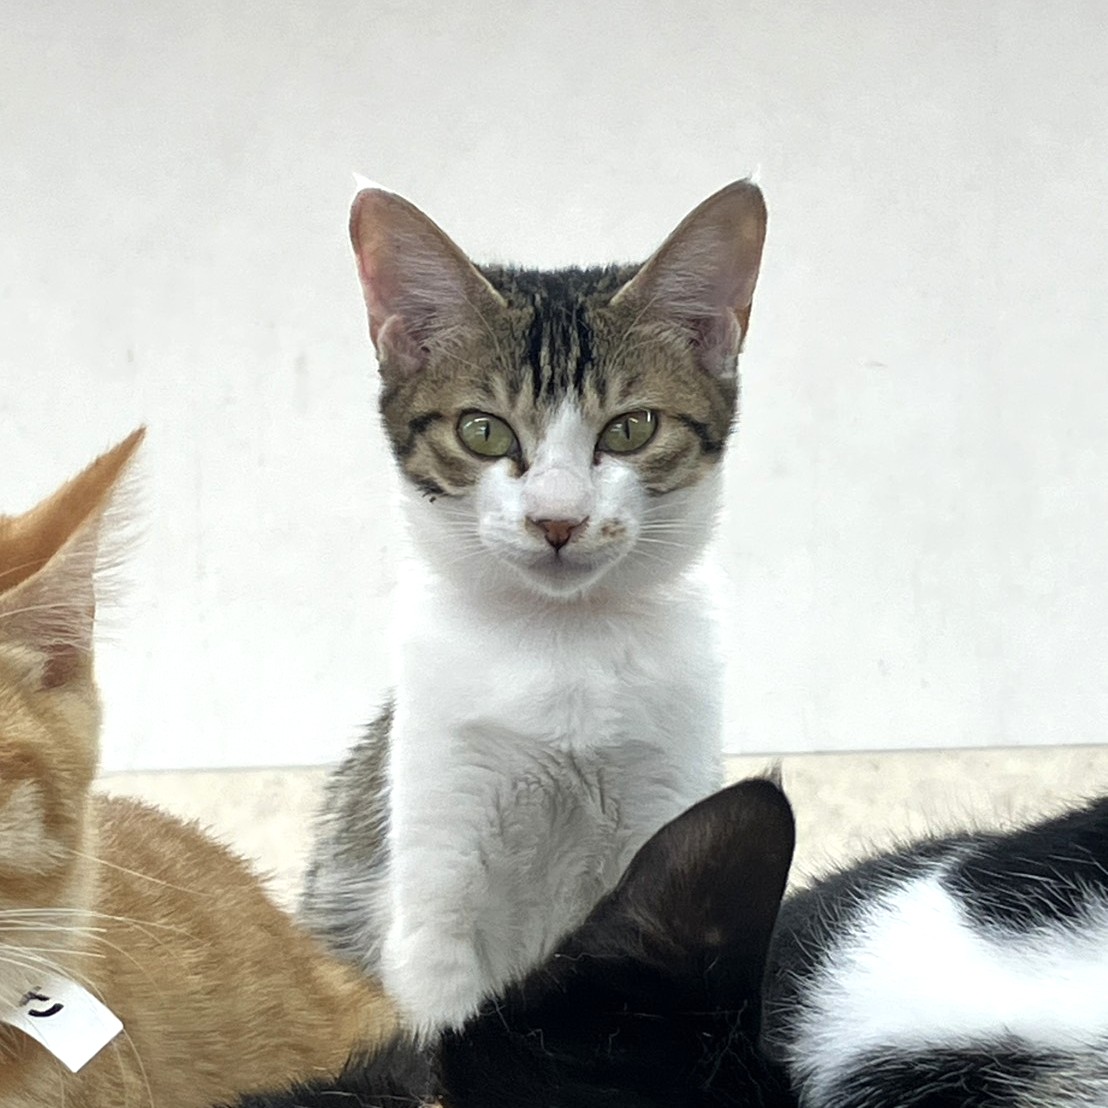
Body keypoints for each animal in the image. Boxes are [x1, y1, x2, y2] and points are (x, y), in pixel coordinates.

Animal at [299, 180, 769, 1034]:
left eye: (632, 427)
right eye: (483, 430)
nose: (558, 520)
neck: (562, 642)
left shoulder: (668, 795)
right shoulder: (434, 873)